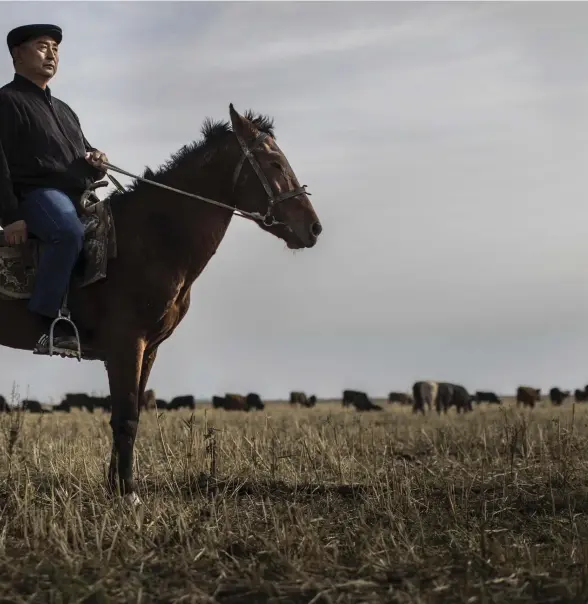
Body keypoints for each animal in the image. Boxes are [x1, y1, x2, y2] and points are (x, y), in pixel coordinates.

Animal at [0, 105, 322, 504]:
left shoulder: (148, 349)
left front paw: (116, 486)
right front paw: (128, 494)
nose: (313, 228)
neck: (152, 238)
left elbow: (130, 413)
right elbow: (126, 418)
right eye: (275, 162)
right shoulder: (127, 345)